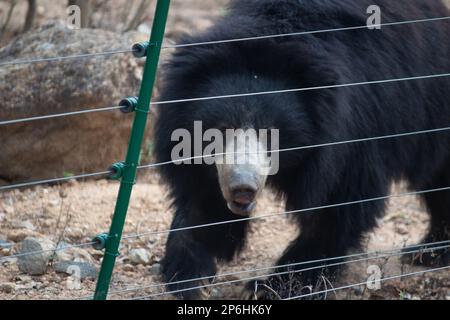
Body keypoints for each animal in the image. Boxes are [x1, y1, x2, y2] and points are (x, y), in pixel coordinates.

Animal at [153, 0, 448, 300]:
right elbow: (201, 198)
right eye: (222, 130)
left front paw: (274, 287)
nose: (242, 187)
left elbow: (339, 202)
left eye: (270, 132)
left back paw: (428, 252)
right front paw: (189, 275)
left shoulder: (354, 131)